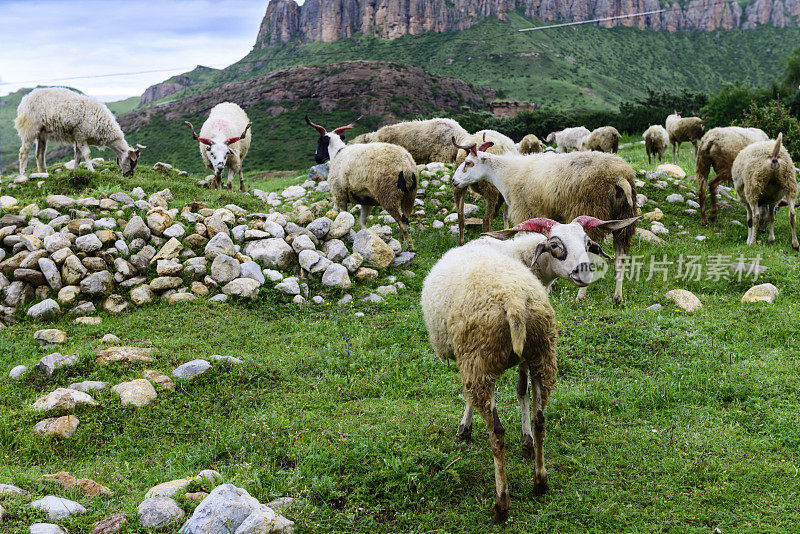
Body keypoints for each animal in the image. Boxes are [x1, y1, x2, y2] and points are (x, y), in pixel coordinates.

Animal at [14, 87, 145, 177]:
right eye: (132, 161)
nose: (130, 176)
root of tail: (24, 100)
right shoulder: (81, 135)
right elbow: (87, 154)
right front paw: (92, 170)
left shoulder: (78, 137)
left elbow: (78, 157)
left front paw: (75, 170)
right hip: (30, 128)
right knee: (23, 152)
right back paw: (22, 174)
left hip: (42, 133)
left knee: (40, 154)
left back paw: (43, 173)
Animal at [418, 216, 632, 524]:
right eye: (555, 245)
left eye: (587, 243)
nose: (583, 271)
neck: (518, 255)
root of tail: (514, 302)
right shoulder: (524, 358)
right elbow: (522, 391)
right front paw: (527, 443)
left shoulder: (467, 358)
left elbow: (472, 398)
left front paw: (464, 430)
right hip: (543, 352)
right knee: (541, 418)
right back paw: (540, 481)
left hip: (479, 359)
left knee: (496, 432)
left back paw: (501, 503)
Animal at [454, 142, 640, 304]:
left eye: (468, 163)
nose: (454, 181)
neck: (507, 174)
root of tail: (620, 177)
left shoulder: (524, 212)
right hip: (624, 220)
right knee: (621, 257)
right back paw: (617, 296)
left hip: (592, 208)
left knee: (592, 256)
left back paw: (580, 296)